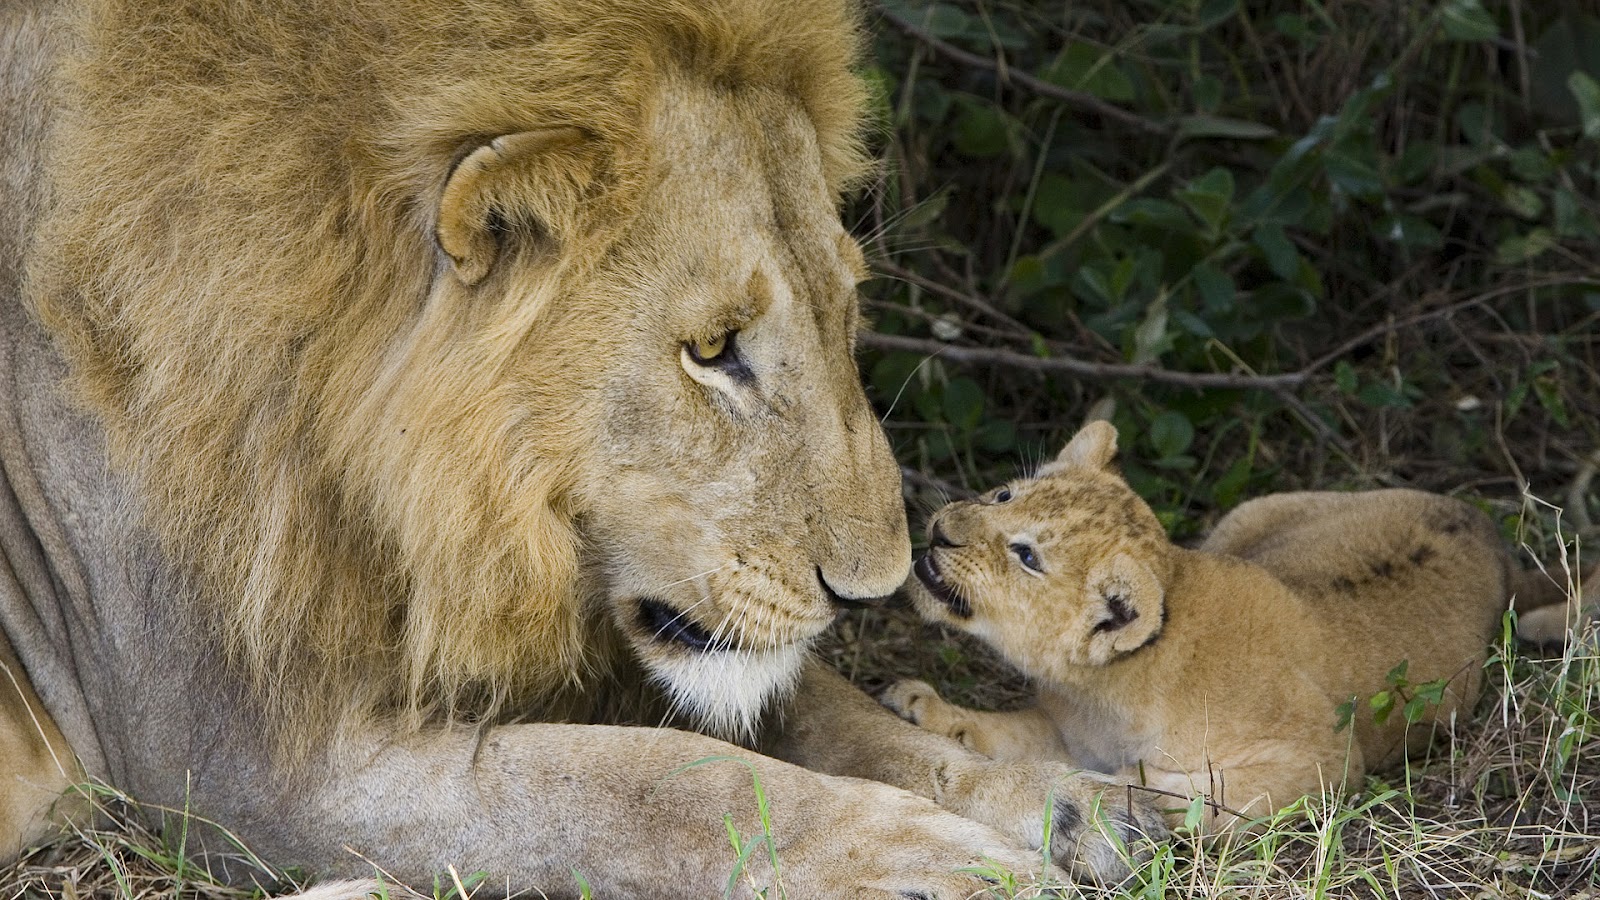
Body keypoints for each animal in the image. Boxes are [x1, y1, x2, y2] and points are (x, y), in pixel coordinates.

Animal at [0, 0, 1165, 892]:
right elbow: (656, 786)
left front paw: (1081, 808)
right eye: (711, 350)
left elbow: (837, 718)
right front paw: (934, 862)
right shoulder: (238, 764)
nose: (876, 590)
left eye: (847, 310)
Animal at [883, 421, 1560, 832]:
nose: (941, 530)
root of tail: (1489, 531)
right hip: (1250, 514)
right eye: (1003, 495)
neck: (1104, 691)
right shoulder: (1068, 729)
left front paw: (1116, 790)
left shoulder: (1324, 762)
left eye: (1026, 556)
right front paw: (925, 709)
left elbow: (1197, 793)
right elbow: (1009, 735)